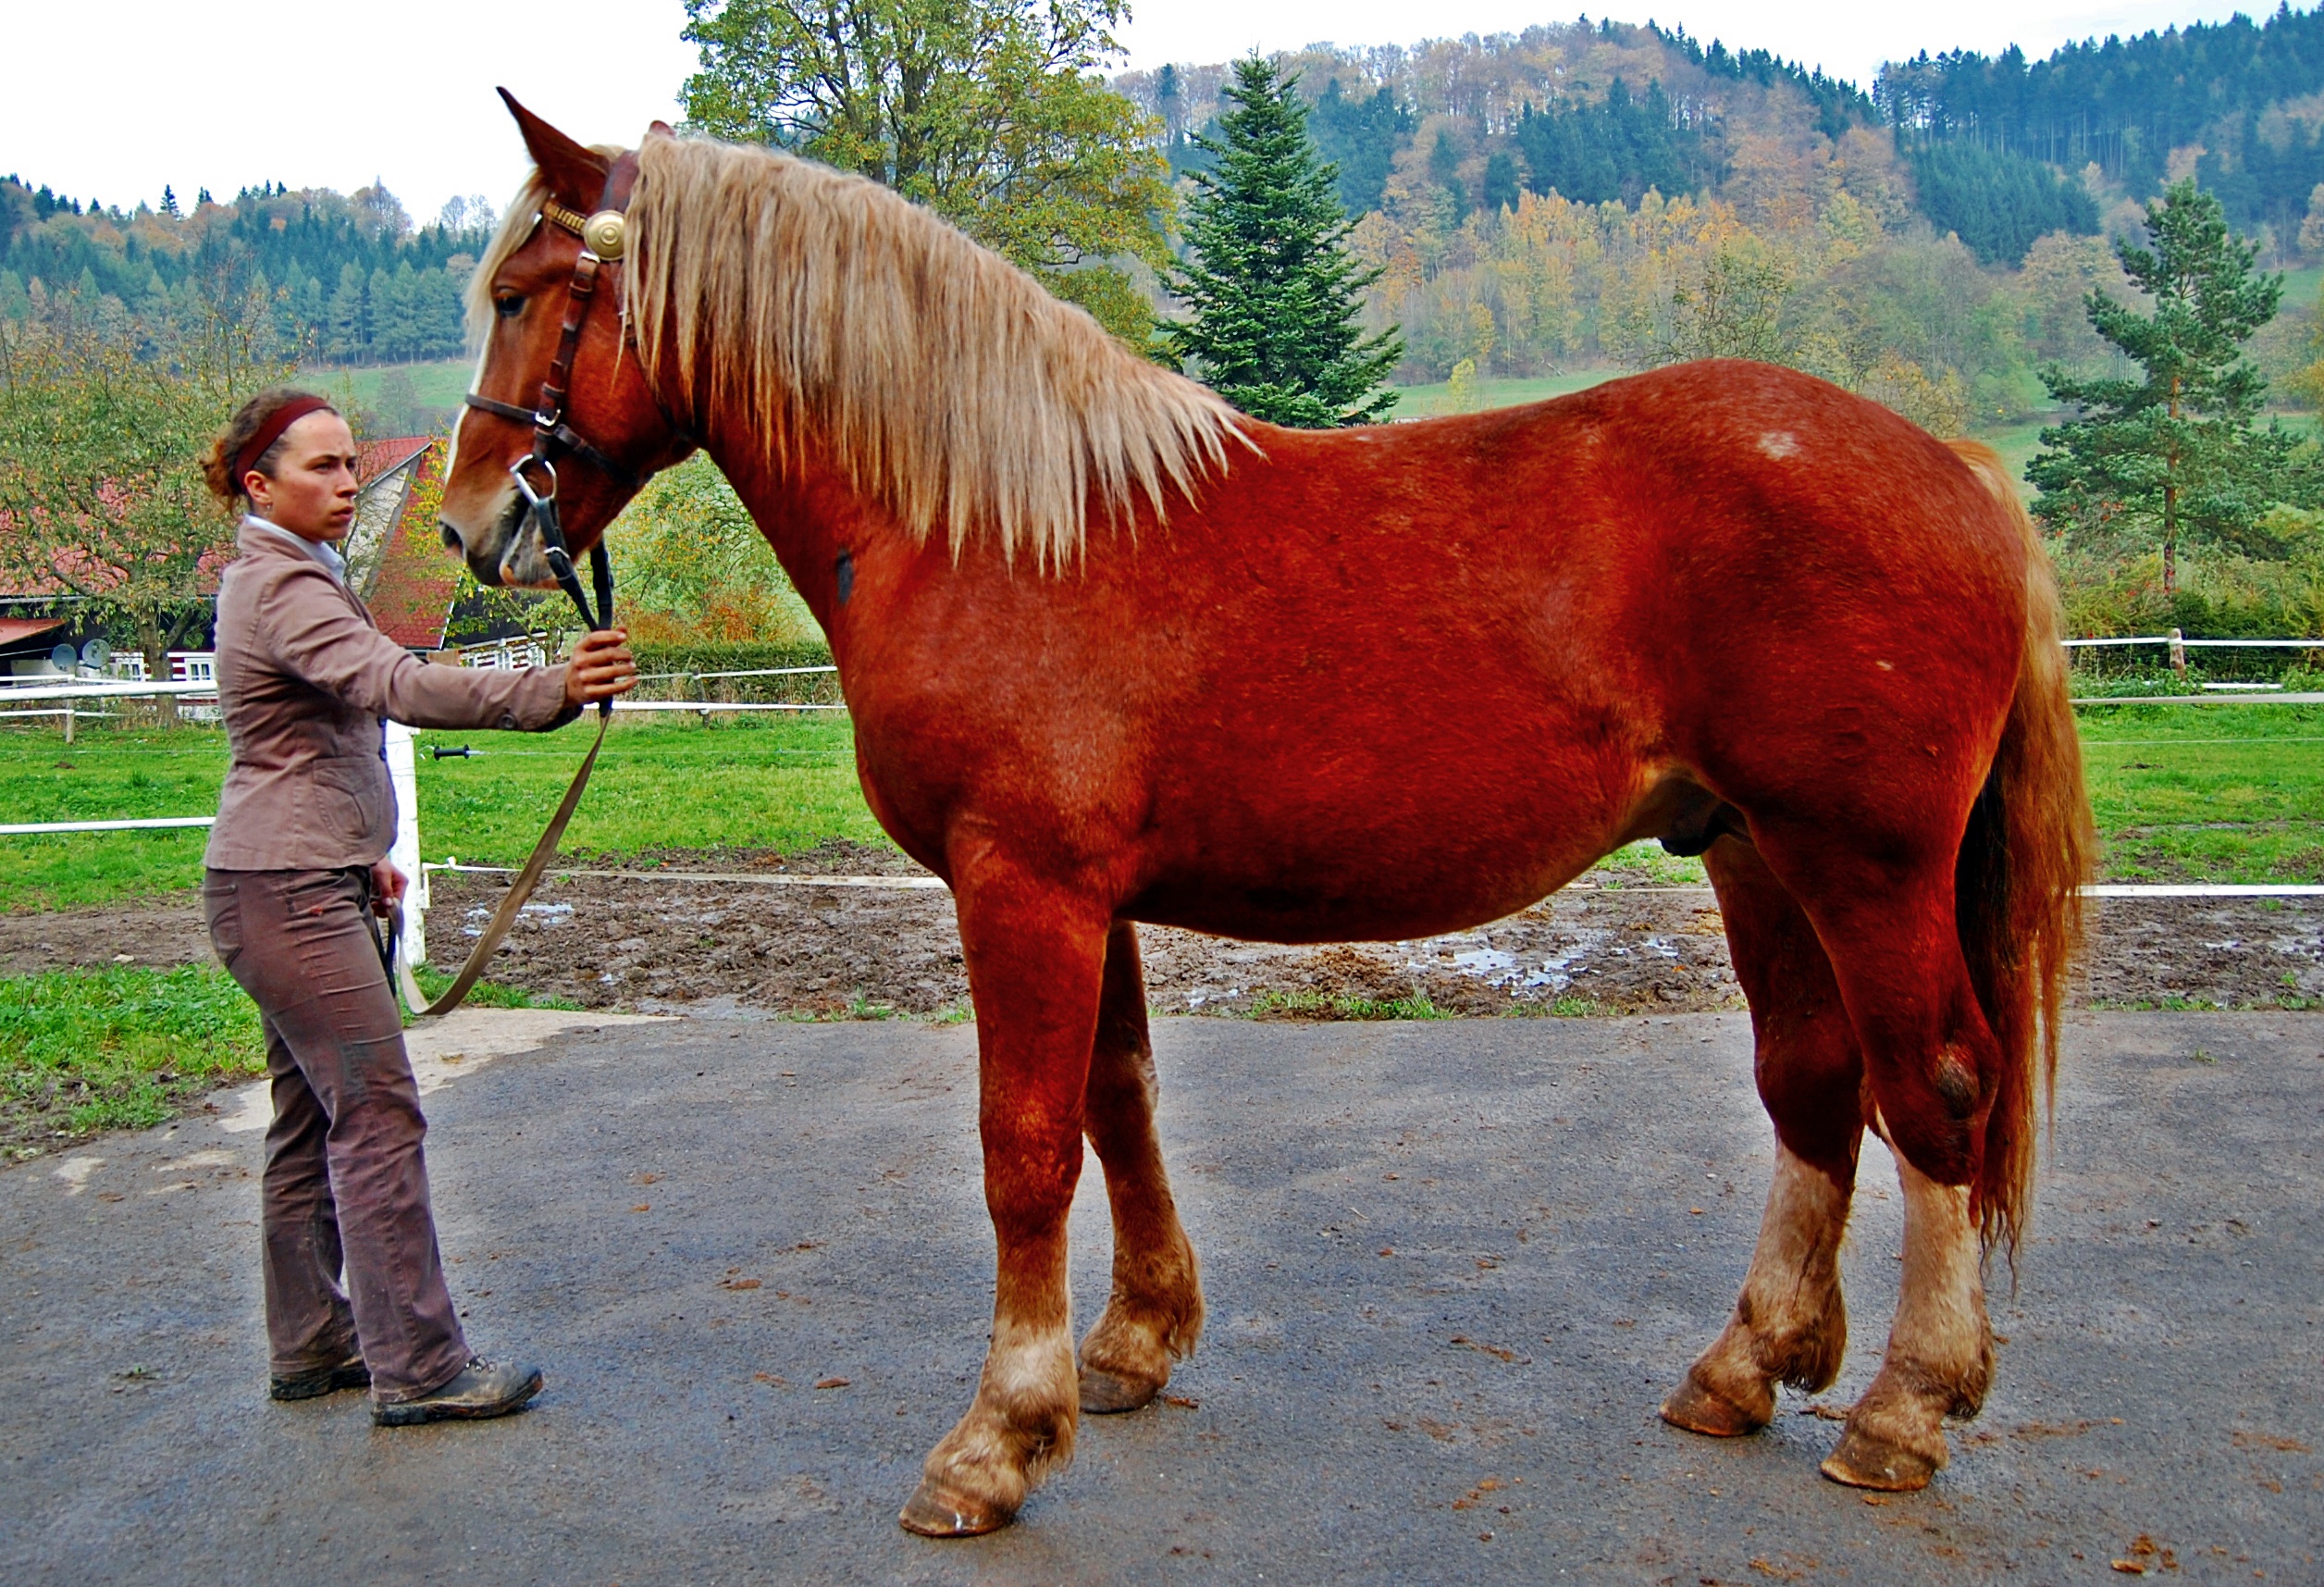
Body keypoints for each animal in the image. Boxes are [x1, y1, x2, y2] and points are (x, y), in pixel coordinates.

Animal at [439, 102, 2091, 1543]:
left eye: (526, 292)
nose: (472, 526)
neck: (992, 523)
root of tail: (1956, 466)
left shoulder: (1019, 881)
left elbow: (1024, 1143)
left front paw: (995, 1436)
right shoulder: (1083, 892)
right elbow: (1118, 1101)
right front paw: (1129, 1343)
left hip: (1865, 863)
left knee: (1935, 1090)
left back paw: (1905, 1405)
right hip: (1752, 851)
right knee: (1813, 1084)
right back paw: (1746, 1365)